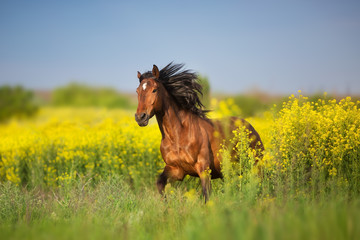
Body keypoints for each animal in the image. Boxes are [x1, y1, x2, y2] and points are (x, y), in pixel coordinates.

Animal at [135, 62, 264, 202]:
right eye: (137, 91)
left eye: (154, 89)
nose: (140, 117)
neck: (178, 136)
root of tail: (251, 129)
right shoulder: (176, 169)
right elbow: (160, 184)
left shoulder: (203, 168)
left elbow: (207, 195)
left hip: (256, 167)